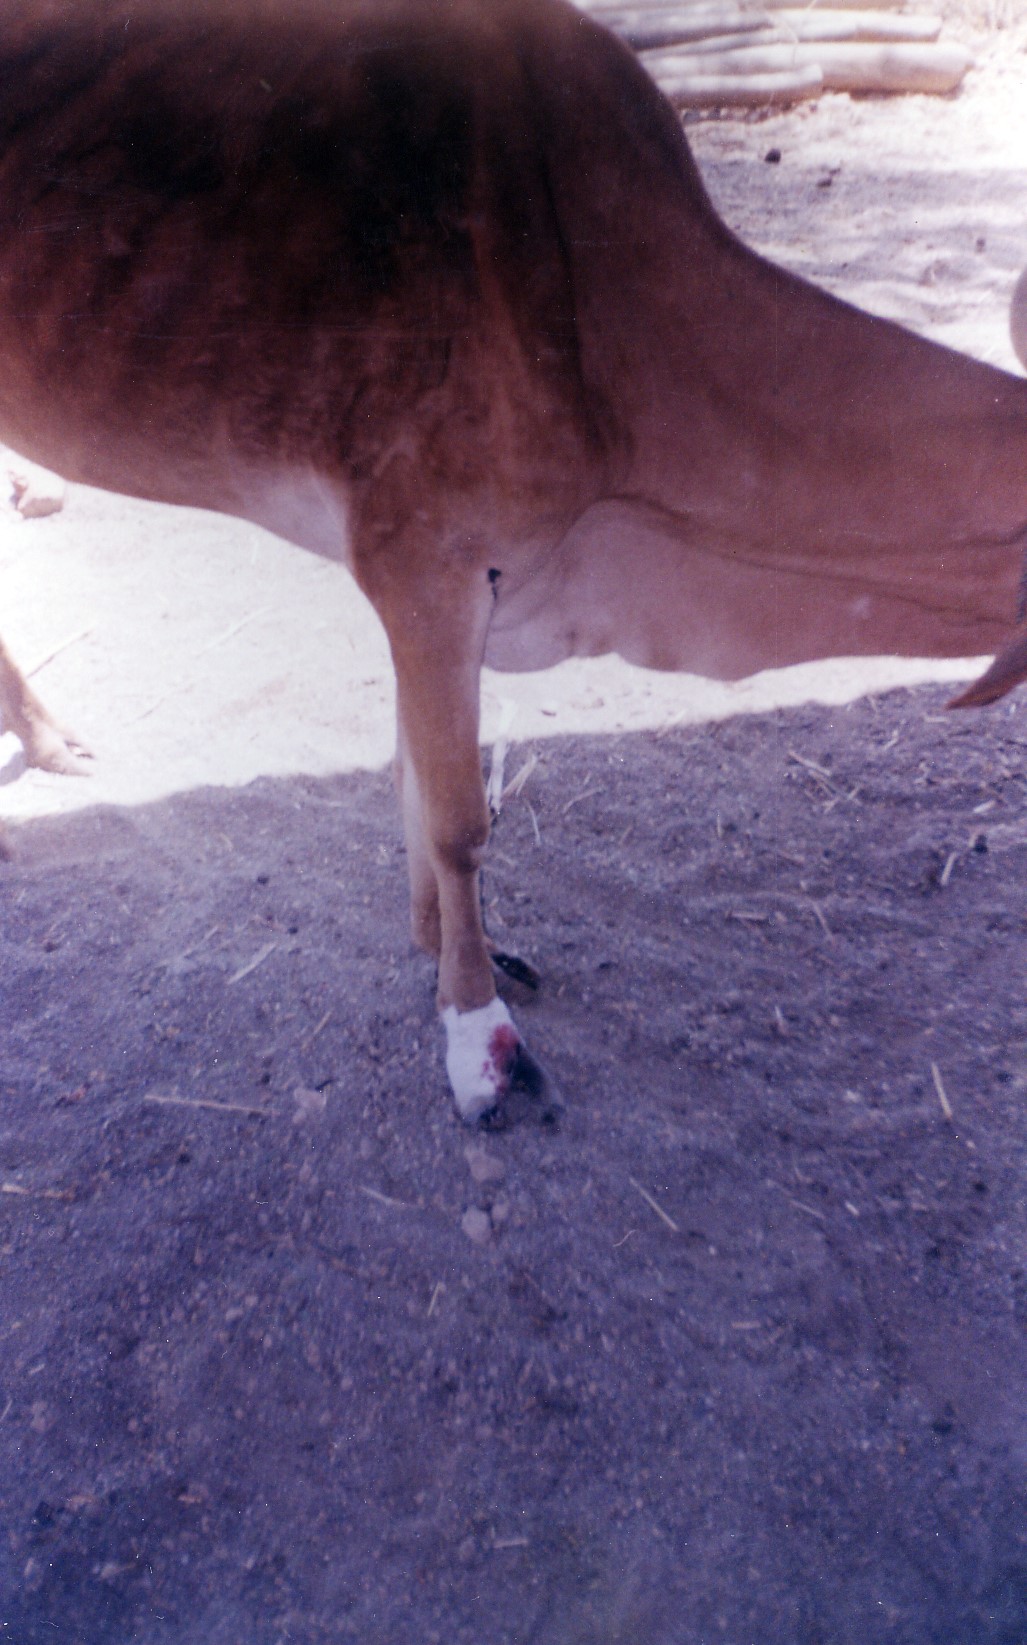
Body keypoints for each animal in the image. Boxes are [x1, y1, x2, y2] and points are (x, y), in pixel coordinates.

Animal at [0, 0, 1025, 1123]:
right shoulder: (423, 566)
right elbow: (459, 820)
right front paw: (476, 1037)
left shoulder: (440, 591)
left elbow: (415, 781)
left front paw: (445, 954)